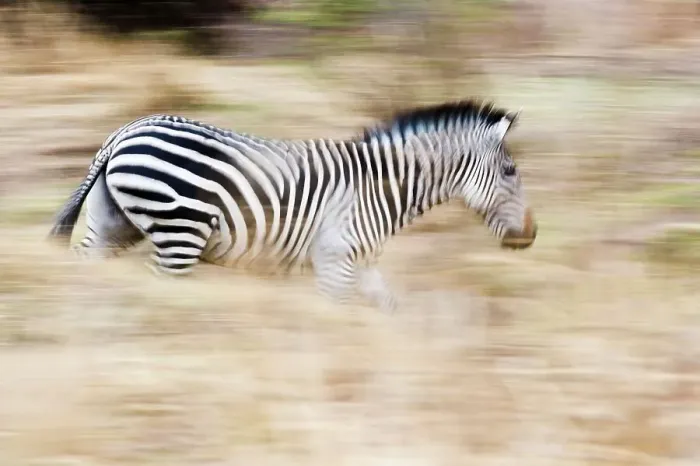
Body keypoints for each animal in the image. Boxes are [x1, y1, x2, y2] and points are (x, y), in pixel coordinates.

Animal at [48, 99, 537, 312]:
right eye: (510, 170)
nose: (532, 235)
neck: (380, 187)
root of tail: (123, 132)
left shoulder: (363, 264)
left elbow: (390, 309)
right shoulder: (335, 261)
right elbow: (335, 322)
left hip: (112, 224)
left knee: (86, 272)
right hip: (178, 234)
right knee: (157, 289)